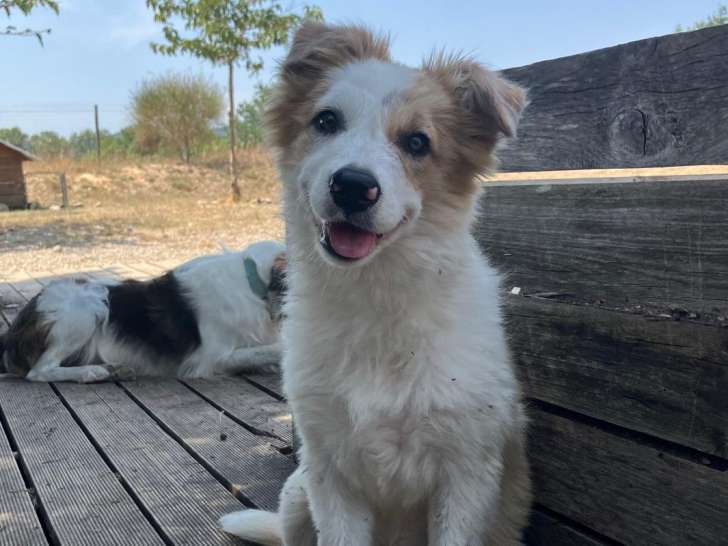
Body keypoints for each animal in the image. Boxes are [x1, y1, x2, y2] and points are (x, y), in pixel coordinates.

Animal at [0, 240, 288, 380]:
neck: (254, 283)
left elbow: (260, 353)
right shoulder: (212, 358)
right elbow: (268, 350)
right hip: (86, 306)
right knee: (39, 371)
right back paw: (92, 373)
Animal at [219, 21, 532, 544]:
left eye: (418, 142)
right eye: (326, 120)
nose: (352, 186)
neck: (376, 296)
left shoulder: (466, 476)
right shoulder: (330, 472)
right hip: (298, 495)